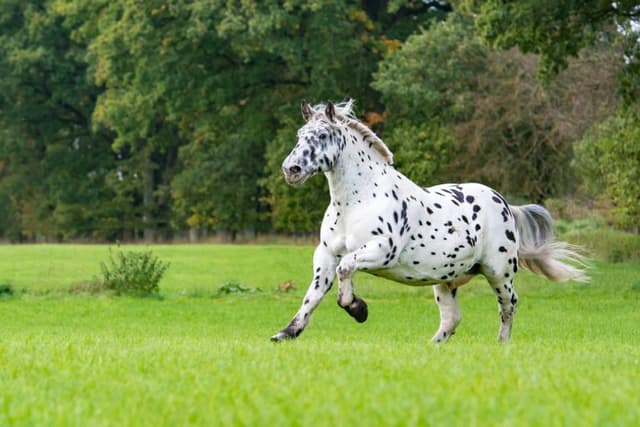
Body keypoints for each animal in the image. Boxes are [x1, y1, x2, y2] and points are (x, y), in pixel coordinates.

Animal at [270, 100, 587, 343]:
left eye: (323, 135)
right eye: (300, 134)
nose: (291, 169)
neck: (357, 201)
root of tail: (505, 203)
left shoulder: (381, 251)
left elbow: (346, 269)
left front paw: (358, 309)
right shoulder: (326, 255)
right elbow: (312, 296)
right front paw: (286, 333)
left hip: (499, 272)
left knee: (508, 307)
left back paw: (502, 344)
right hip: (445, 280)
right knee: (452, 319)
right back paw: (431, 346)